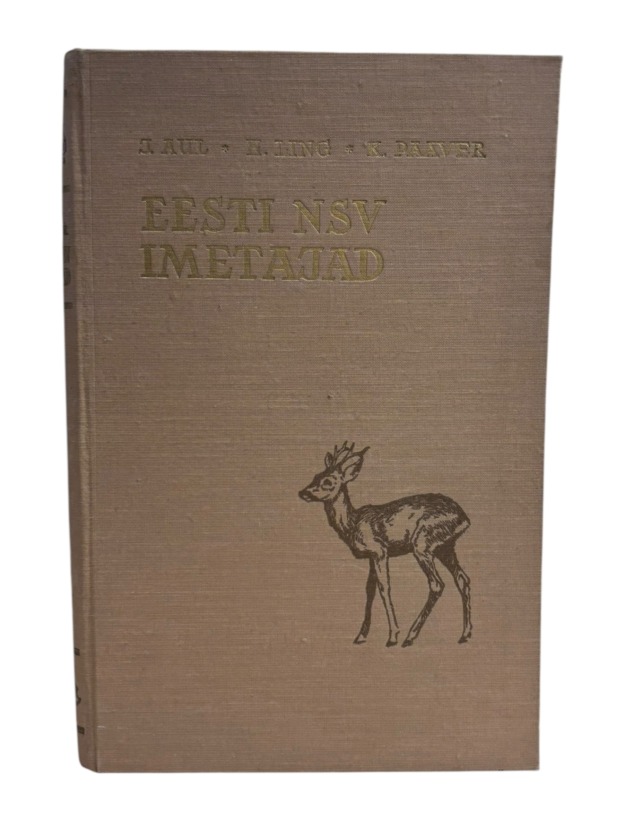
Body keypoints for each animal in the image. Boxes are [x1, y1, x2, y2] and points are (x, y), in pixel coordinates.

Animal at [298, 443, 472, 647]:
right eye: (315, 476)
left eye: (328, 481)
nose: (303, 492)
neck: (352, 524)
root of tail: (464, 518)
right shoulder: (371, 557)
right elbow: (369, 591)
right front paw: (360, 636)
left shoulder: (380, 550)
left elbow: (384, 588)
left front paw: (392, 636)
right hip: (445, 547)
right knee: (462, 578)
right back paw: (465, 634)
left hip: (423, 543)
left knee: (437, 583)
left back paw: (410, 636)